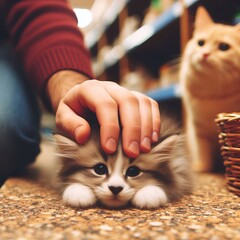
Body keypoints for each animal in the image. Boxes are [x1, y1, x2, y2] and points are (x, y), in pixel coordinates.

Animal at [180, 6, 240, 172]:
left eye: (224, 47)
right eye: (201, 43)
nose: (205, 54)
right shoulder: (198, 130)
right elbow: (203, 153)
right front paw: (200, 169)